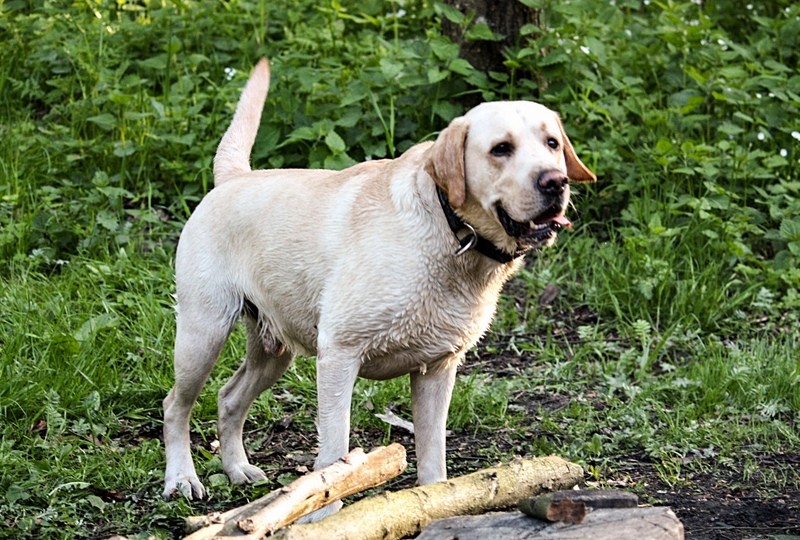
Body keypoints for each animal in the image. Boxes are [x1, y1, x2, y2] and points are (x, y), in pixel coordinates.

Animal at [162, 59, 592, 520]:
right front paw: (324, 516)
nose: (555, 182)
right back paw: (182, 479)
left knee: (229, 398)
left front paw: (435, 502)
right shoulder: (339, 355)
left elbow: (433, 456)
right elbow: (333, 457)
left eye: (552, 143)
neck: (450, 231)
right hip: (202, 334)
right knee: (176, 406)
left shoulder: (438, 369)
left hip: (273, 351)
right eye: (501, 149)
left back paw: (238, 468)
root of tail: (233, 177)